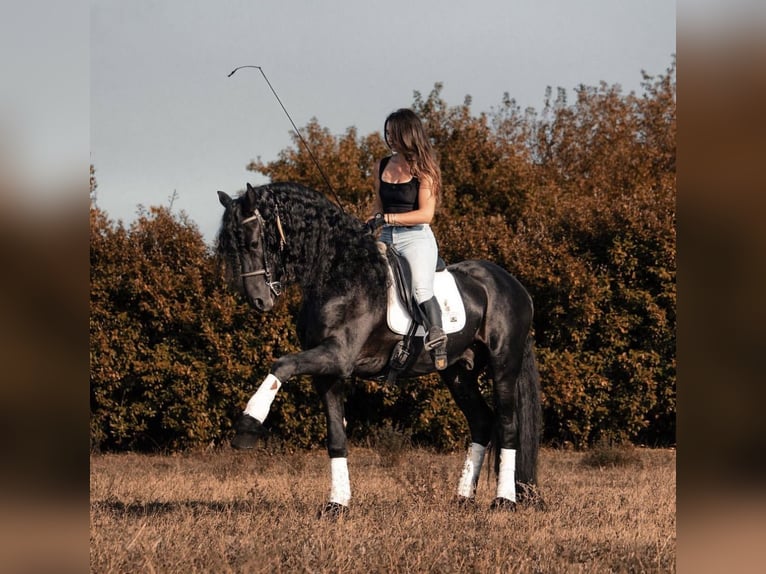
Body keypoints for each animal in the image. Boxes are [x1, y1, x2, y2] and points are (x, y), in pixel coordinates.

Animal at [216, 182, 544, 516]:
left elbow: (281, 364)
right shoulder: (327, 371)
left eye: (253, 242)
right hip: (457, 372)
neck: (340, 275)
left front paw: (247, 426)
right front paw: (337, 504)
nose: (258, 301)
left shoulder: (338, 355)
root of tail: (514, 286)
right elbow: (336, 437)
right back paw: (463, 499)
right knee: (481, 421)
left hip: (503, 363)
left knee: (507, 426)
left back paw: (503, 501)